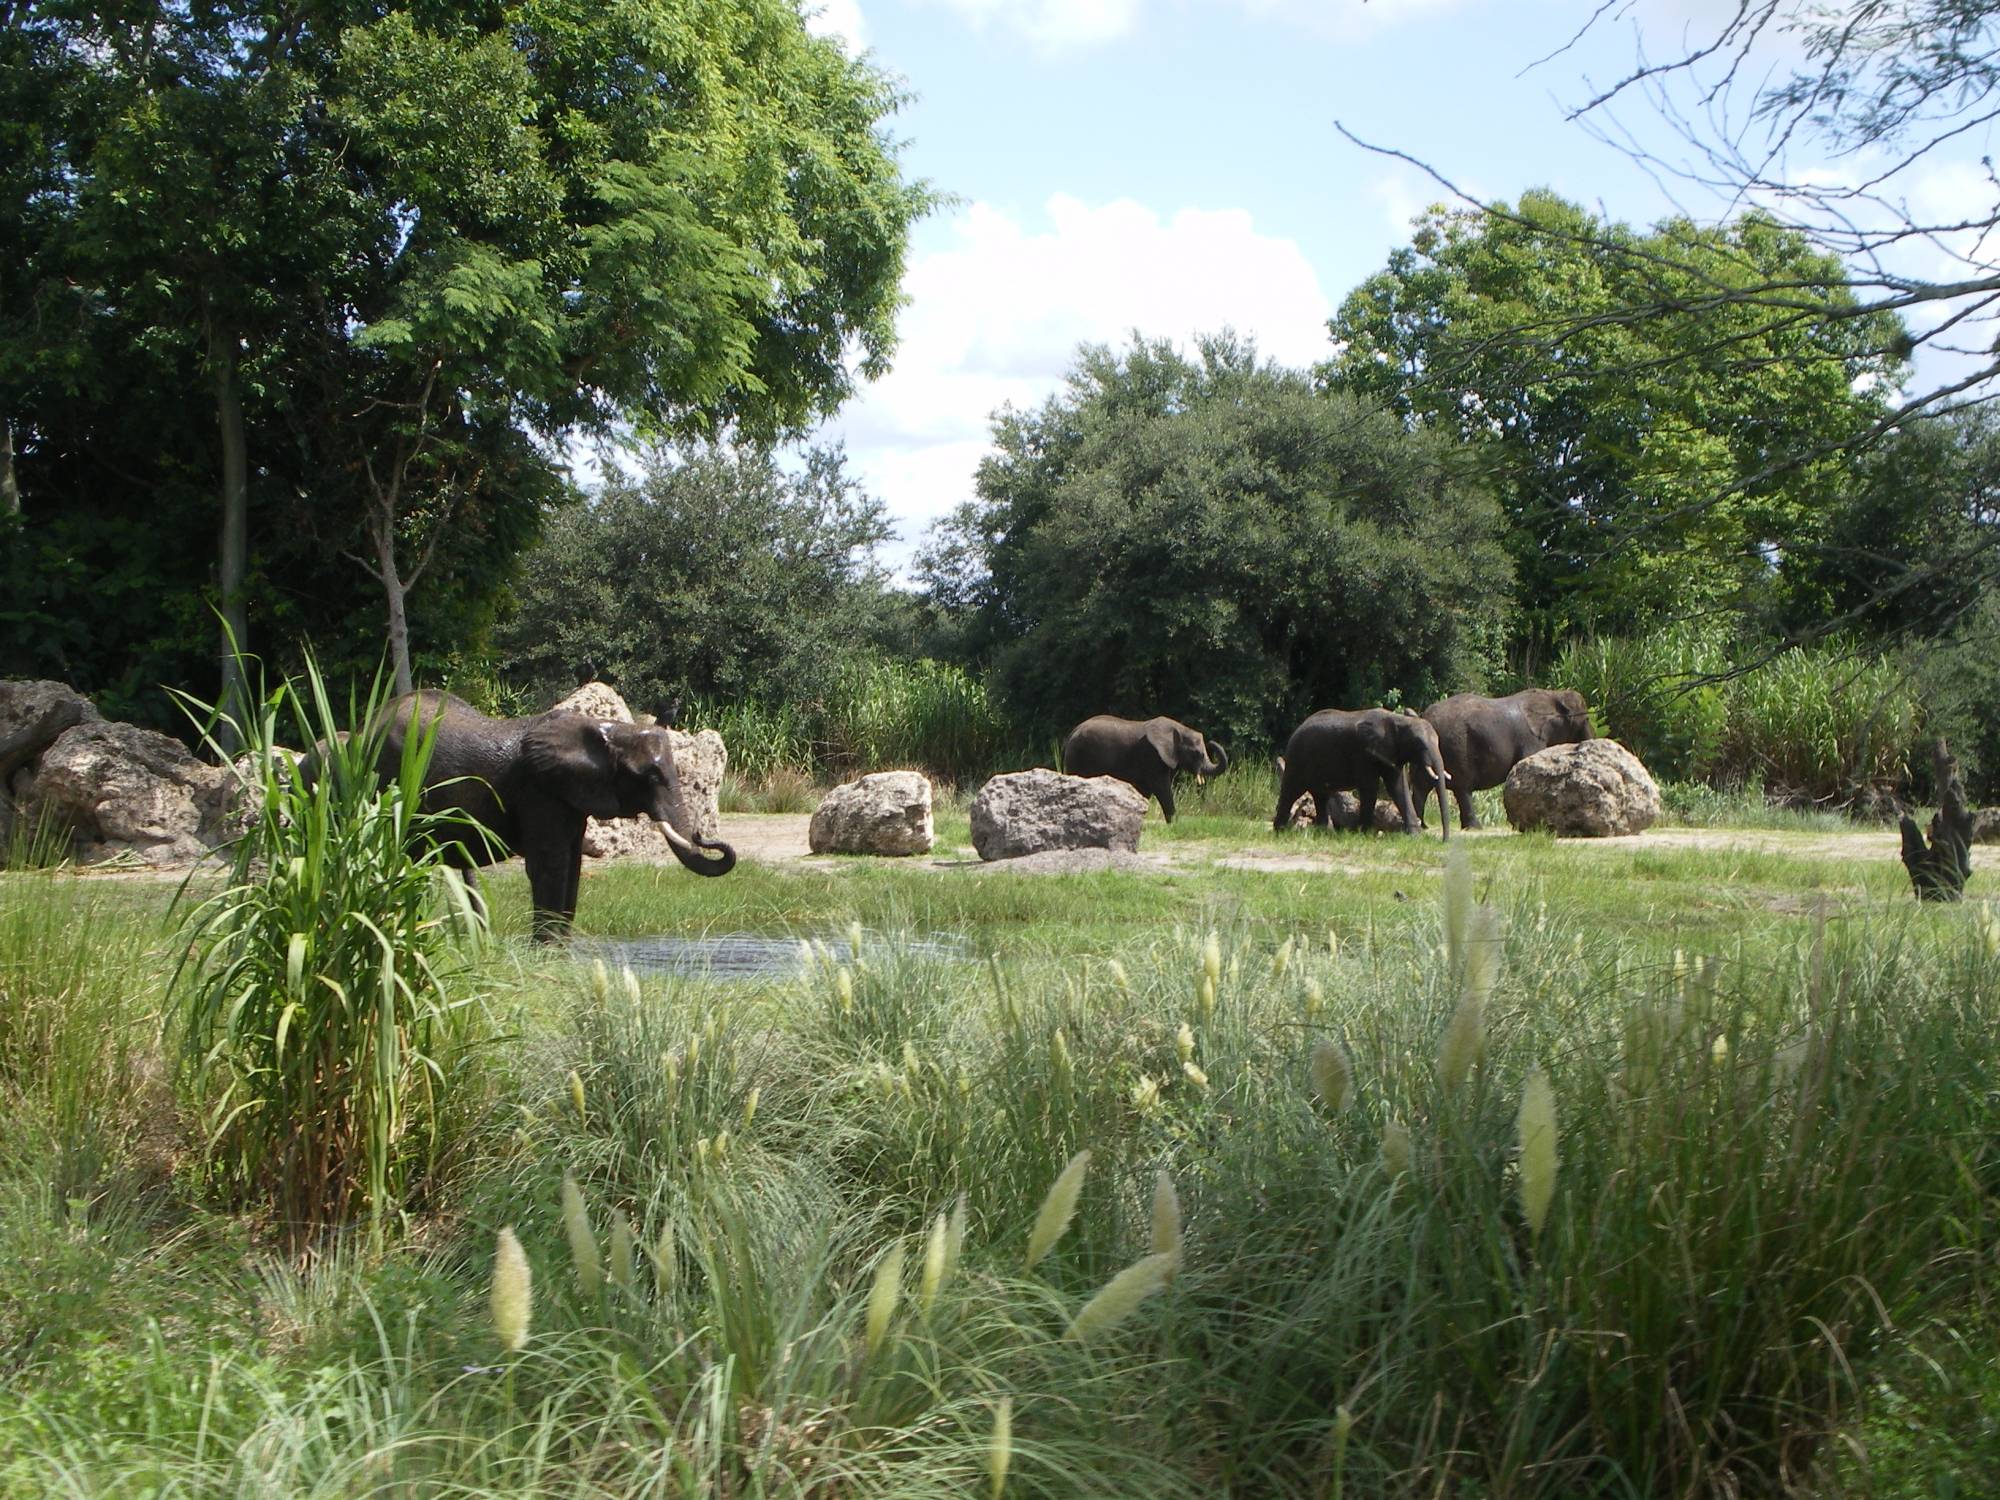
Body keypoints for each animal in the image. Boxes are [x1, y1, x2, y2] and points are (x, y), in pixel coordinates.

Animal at [368, 692, 736, 940]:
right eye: (649, 777)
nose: (704, 836)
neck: (606, 731)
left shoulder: (569, 794)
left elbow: (572, 863)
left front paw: (559, 950)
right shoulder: (540, 789)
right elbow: (551, 863)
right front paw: (544, 950)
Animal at [1064, 716, 1232, 824]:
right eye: (1198, 754)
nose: (1211, 742)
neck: (1178, 729)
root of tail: (1072, 732)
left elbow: (1145, 791)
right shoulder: (1152, 756)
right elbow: (1162, 787)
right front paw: (1176, 824)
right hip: (1079, 756)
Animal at [1280, 712, 1456, 840]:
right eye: (1419, 744)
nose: (1444, 841)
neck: (1398, 720)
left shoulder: (1390, 753)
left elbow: (1398, 788)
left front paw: (1415, 836)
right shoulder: (1363, 753)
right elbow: (1370, 788)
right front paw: (1364, 834)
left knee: (1320, 796)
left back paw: (1326, 834)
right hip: (1297, 757)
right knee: (1291, 791)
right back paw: (1279, 832)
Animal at [1424, 692, 1592, 836]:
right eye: (1586, 720)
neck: (1554, 694)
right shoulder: (1531, 739)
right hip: (1457, 745)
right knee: (1463, 788)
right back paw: (1475, 828)